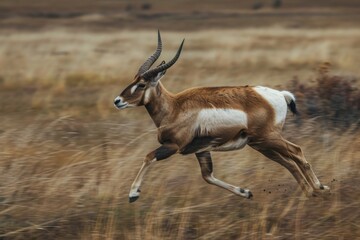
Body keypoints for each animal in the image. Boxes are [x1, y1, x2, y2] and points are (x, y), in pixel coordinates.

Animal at [114, 30, 330, 202]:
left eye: (142, 84)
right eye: (133, 79)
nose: (117, 101)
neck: (174, 106)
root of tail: (280, 95)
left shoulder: (173, 146)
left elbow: (148, 157)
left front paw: (133, 194)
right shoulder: (200, 150)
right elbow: (207, 176)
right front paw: (246, 192)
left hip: (269, 139)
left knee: (297, 151)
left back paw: (320, 187)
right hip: (261, 145)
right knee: (289, 162)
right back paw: (311, 192)